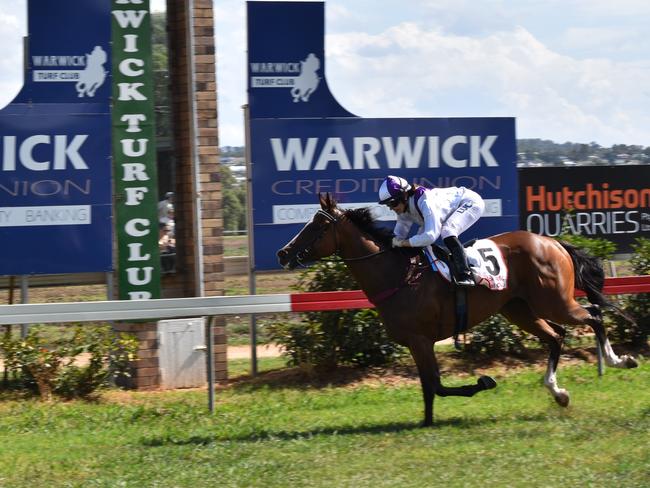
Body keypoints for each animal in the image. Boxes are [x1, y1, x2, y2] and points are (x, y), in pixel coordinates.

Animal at [276, 194, 636, 428]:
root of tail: (554, 242)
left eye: (318, 226)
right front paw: (426, 421)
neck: (398, 275)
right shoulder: (416, 342)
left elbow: (435, 385)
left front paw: (484, 382)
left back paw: (619, 360)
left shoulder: (421, 340)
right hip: (518, 309)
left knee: (593, 316)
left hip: (555, 301)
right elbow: (429, 385)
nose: (283, 253)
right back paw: (558, 392)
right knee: (556, 336)